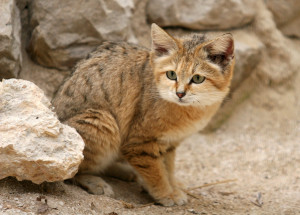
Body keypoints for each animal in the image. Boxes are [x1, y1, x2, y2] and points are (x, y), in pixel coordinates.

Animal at [52, 23, 234, 207]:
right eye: (171, 74)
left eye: (197, 78)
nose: (180, 93)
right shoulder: (140, 144)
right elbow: (156, 173)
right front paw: (167, 194)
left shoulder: (169, 142)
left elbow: (168, 168)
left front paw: (173, 186)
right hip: (103, 121)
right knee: (73, 169)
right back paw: (96, 182)